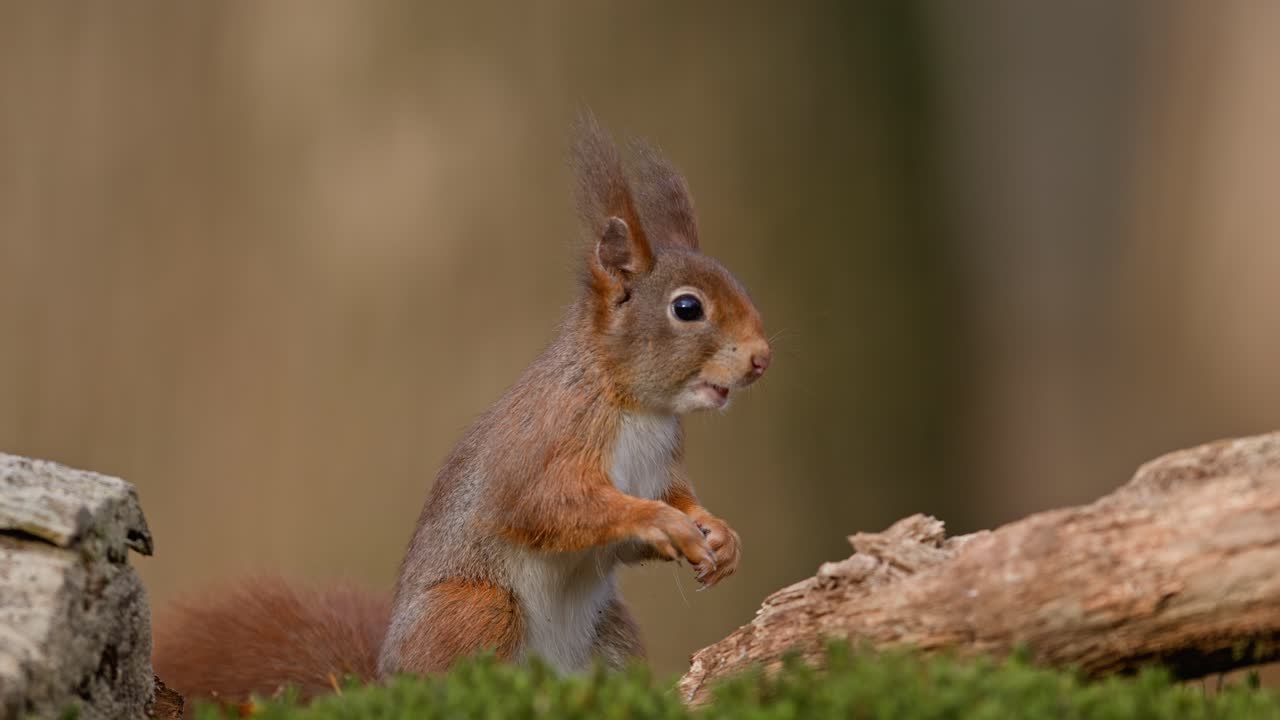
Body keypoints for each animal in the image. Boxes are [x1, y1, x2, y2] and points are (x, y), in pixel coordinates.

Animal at [151, 113, 772, 703]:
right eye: (687, 308)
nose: (762, 358)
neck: (638, 406)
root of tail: (384, 678)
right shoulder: (545, 442)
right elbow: (553, 504)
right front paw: (661, 521)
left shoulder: (661, 466)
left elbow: (677, 499)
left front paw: (720, 535)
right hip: (476, 608)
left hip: (612, 633)